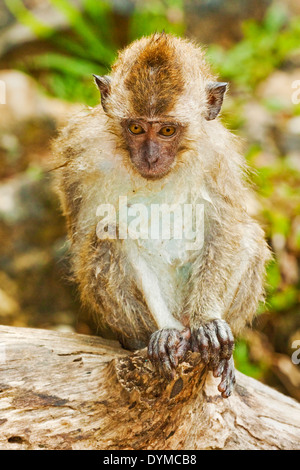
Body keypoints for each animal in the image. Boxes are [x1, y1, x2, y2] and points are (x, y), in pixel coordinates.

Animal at [52, 35, 270, 398]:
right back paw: (153, 339)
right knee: (103, 239)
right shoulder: (80, 150)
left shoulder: (219, 156)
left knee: (249, 237)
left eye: (167, 130)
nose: (151, 157)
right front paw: (165, 333)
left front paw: (207, 322)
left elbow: (228, 229)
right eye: (136, 127)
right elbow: (93, 236)